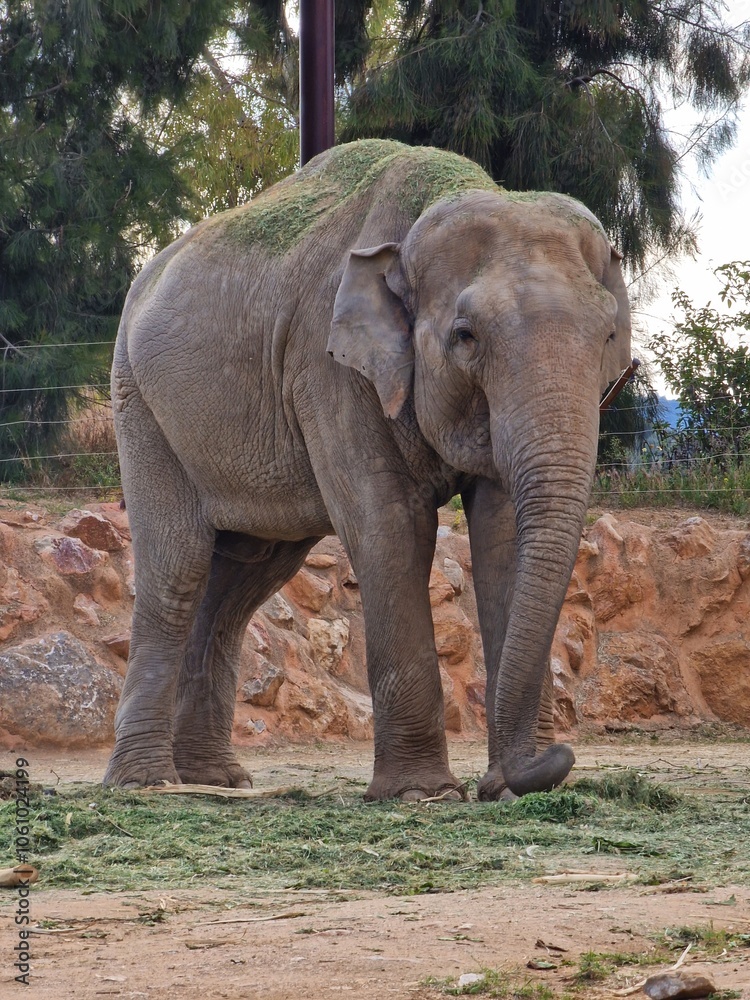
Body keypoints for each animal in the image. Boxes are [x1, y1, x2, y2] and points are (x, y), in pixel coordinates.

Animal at [103, 138, 630, 800]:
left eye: (608, 335)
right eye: (465, 336)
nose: (549, 759)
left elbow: (503, 533)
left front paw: (506, 783)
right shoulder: (327, 366)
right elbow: (391, 527)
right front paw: (421, 793)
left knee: (243, 581)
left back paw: (215, 780)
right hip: (141, 404)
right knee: (179, 568)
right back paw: (147, 784)